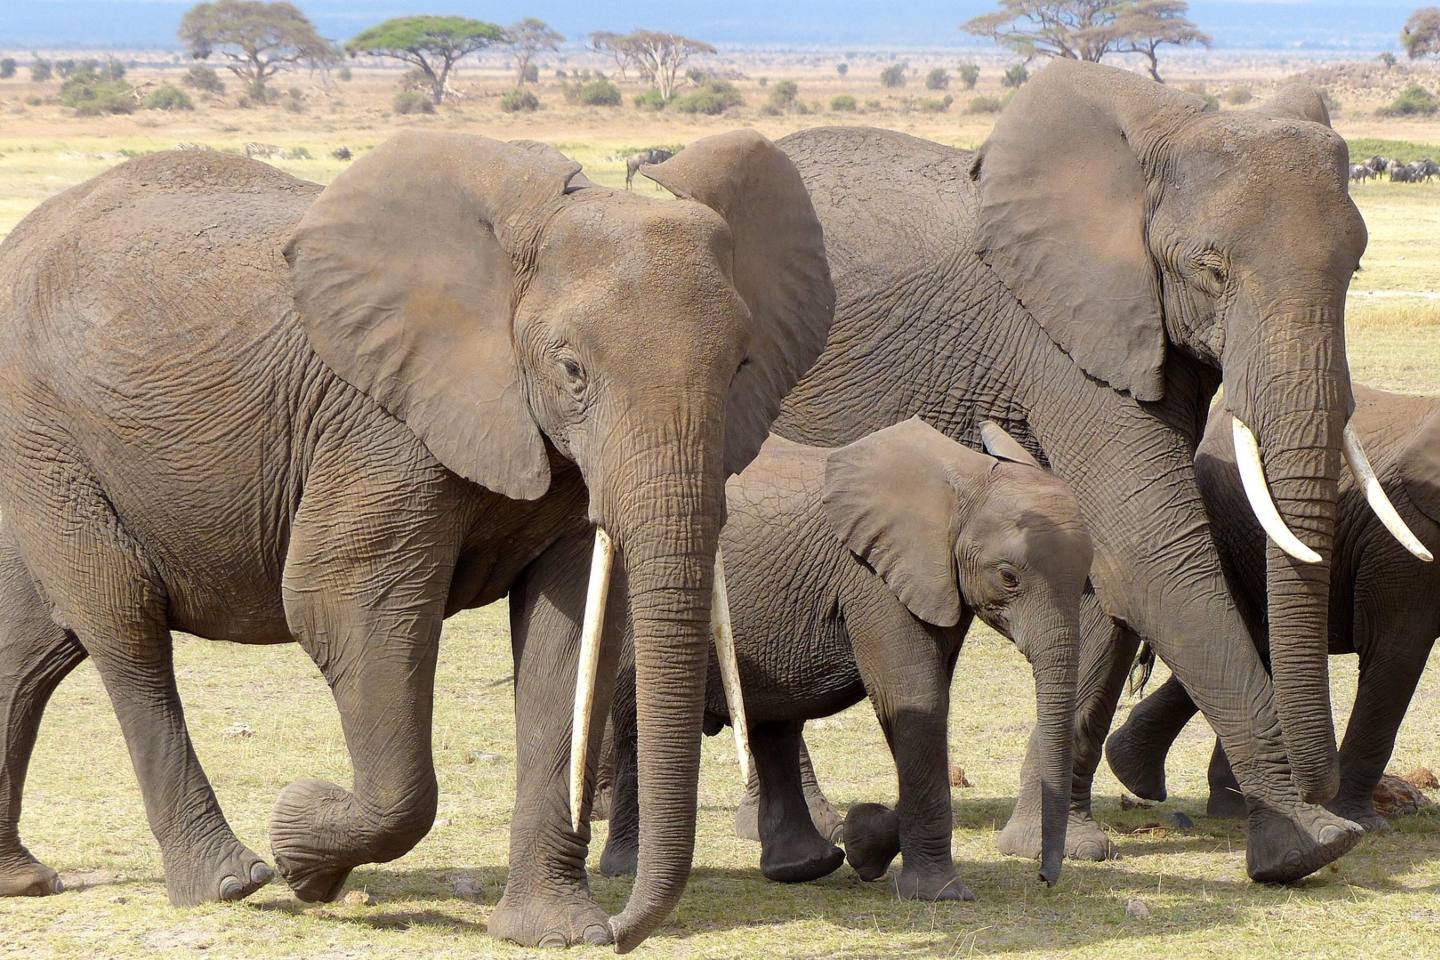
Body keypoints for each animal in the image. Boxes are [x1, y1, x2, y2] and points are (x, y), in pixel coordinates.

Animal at [0, 129, 834, 952]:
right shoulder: (379, 426)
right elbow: (342, 602)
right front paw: (301, 846)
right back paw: (230, 882)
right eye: (572, 370)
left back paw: (24, 880)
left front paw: (553, 932)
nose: (619, 931)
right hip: (50, 439)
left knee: (32, 649)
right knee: (123, 625)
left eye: (743, 366)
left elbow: (568, 638)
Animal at [598, 419, 1091, 900]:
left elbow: (923, 704)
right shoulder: (873, 577)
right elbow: (914, 699)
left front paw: (864, 842)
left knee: (774, 725)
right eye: (1008, 577)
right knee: (638, 722)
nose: (1044, 880)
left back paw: (805, 866)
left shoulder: (935, 582)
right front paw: (940, 894)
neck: (963, 479)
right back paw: (626, 868)